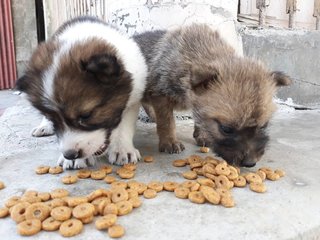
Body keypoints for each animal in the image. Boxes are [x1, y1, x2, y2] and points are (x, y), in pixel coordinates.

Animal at [16, 16, 147, 169]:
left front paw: (122, 149)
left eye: (86, 116)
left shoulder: (132, 97)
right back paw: (43, 127)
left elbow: (124, 126)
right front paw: (74, 160)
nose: (70, 154)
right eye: (54, 119)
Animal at [134, 23, 292, 167]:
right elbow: (167, 122)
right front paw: (170, 142)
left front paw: (202, 135)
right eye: (226, 129)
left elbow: (199, 118)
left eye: (264, 125)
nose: (250, 163)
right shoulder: (161, 95)